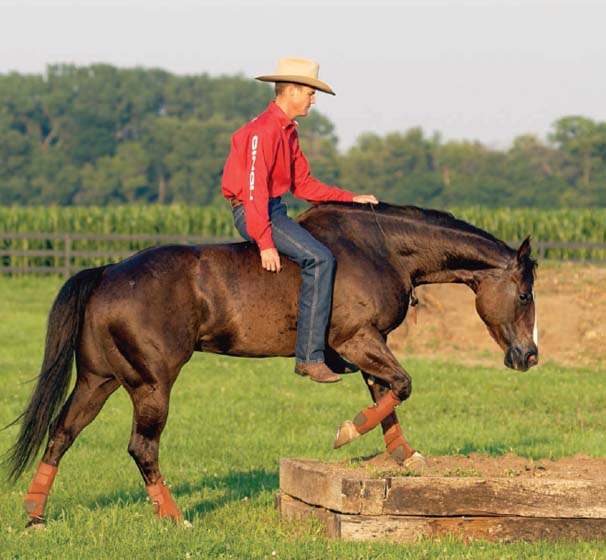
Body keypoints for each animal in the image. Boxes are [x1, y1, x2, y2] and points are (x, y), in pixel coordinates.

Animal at [2, 203, 540, 528]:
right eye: (525, 294)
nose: (529, 356)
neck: (381, 247)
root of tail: (108, 272)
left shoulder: (371, 344)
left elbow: (388, 396)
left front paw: (405, 456)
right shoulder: (358, 340)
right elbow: (401, 386)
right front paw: (348, 432)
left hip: (100, 380)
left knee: (61, 434)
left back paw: (35, 514)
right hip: (151, 385)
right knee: (142, 448)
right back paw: (175, 517)